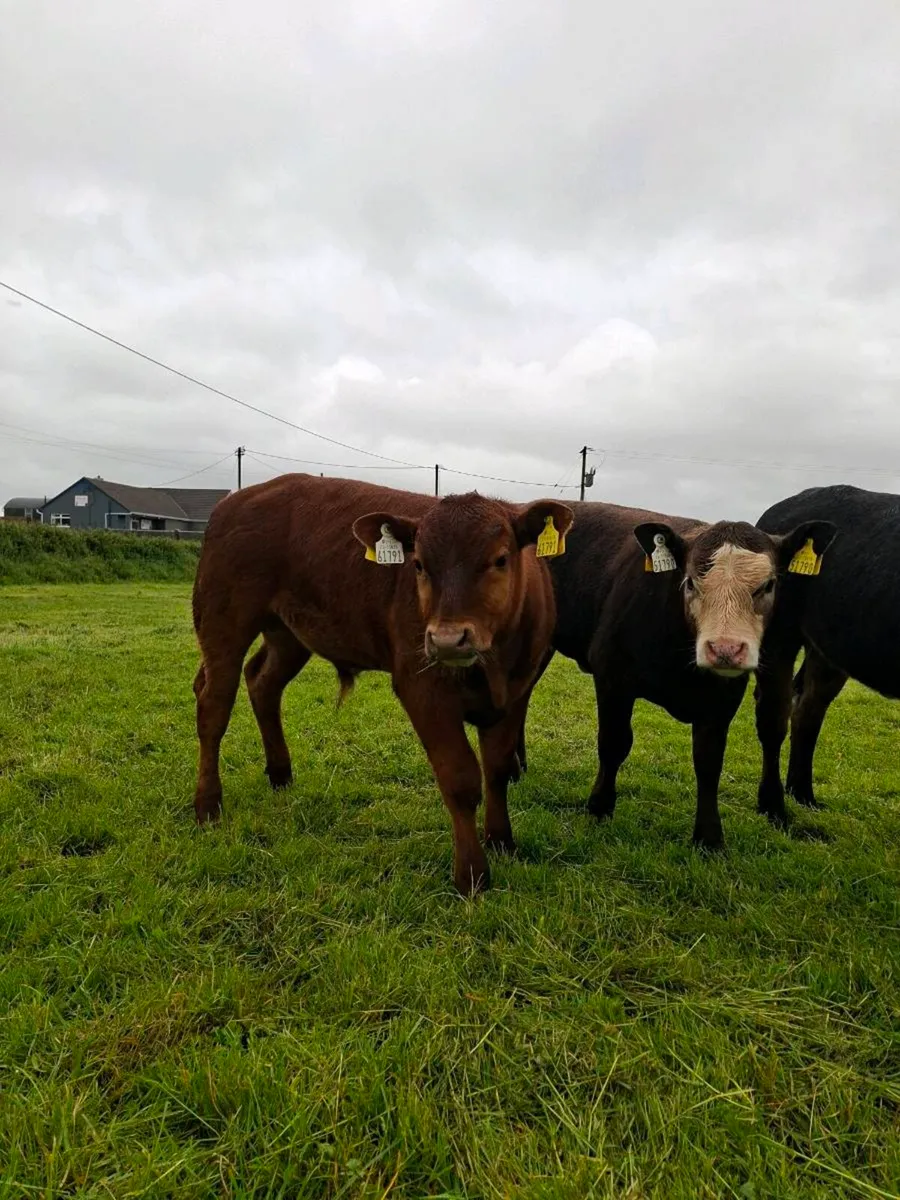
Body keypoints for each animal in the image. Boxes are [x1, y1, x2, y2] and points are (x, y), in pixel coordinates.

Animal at [190, 473, 574, 896]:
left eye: (500, 559)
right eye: (419, 565)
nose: (446, 640)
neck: (494, 664)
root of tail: (237, 500)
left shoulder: (517, 692)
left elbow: (498, 769)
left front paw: (502, 840)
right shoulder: (423, 691)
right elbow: (460, 780)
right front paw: (472, 874)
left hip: (288, 634)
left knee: (262, 683)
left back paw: (280, 774)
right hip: (224, 621)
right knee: (213, 707)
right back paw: (207, 804)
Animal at [519, 501, 835, 848]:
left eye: (767, 585)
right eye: (691, 583)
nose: (724, 649)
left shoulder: (722, 698)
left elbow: (709, 761)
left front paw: (709, 838)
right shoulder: (612, 676)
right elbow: (614, 743)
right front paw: (599, 807)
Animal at [755, 483, 895, 814]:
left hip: (828, 649)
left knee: (808, 710)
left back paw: (803, 793)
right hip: (779, 634)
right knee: (774, 715)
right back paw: (773, 806)